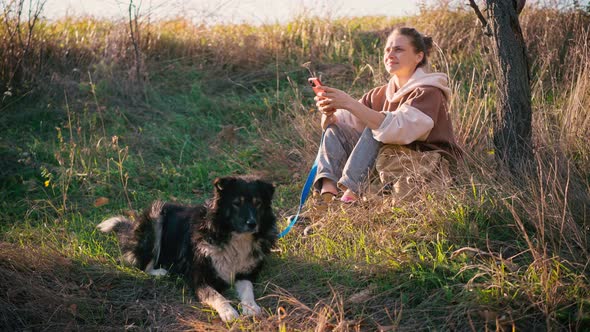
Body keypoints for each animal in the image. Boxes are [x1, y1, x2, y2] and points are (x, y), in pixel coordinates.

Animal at [97, 176, 280, 322]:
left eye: (258, 204)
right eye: (236, 203)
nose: (252, 224)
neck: (229, 236)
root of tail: (131, 230)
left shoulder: (245, 273)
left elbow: (248, 289)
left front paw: (251, 307)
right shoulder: (198, 278)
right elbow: (217, 296)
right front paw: (229, 312)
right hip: (156, 215)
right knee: (141, 264)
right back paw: (160, 272)